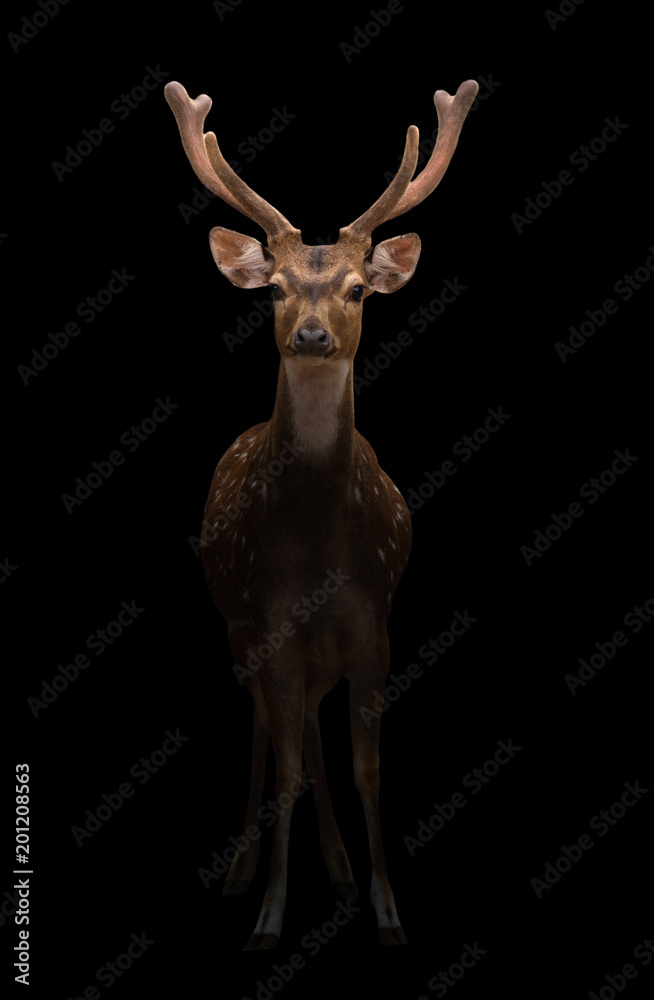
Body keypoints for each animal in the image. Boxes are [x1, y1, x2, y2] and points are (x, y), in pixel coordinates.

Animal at [165, 77, 478, 949]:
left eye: (358, 289)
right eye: (273, 287)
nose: (310, 335)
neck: (318, 551)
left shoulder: (375, 622)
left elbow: (366, 767)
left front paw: (388, 911)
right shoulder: (269, 620)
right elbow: (284, 770)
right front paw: (269, 915)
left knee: (305, 722)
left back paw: (337, 868)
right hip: (238, 628)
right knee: (268, 730)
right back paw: (244, 872)